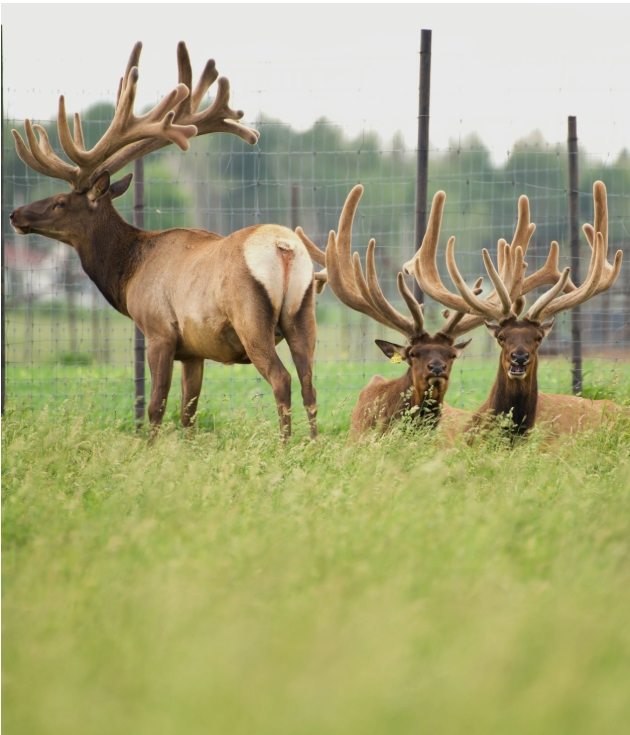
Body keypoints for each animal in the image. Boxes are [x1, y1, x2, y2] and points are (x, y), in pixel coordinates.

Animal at [9, 42, 319, 440]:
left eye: (60, 202)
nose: (16, 215)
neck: (128, 273)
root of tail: (285, 249)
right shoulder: (194, 350)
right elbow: (189, 411)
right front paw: (187, 447)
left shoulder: (158, 331)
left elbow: (155, 405)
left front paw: (150, 447)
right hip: (303, 313)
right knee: (309, 383)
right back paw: (312, 444)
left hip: (251, 318)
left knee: (282, 379)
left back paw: (284, 444)